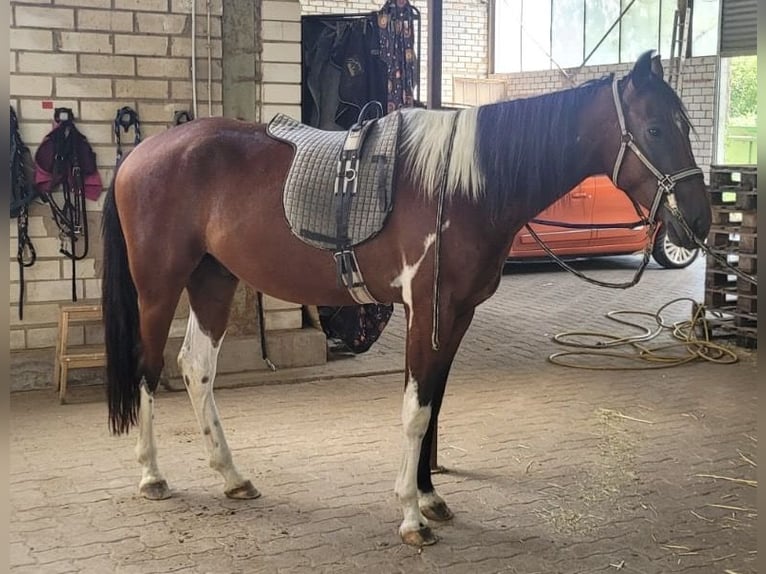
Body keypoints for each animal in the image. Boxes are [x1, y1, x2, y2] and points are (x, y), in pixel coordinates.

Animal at [102, 50, 711, 547]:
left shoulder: (455, 315)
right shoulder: (428, 311)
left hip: (214, 280)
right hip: (159, 285)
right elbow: (417, 411)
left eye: (683, 124)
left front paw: (430, 498)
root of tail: (139, 155)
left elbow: (433, 401)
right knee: (149, 368)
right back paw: (152, 475)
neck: (463, 186)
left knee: (195, 368)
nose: (698, 221)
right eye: (655, 127)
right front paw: (410, 516)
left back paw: (232, 477)